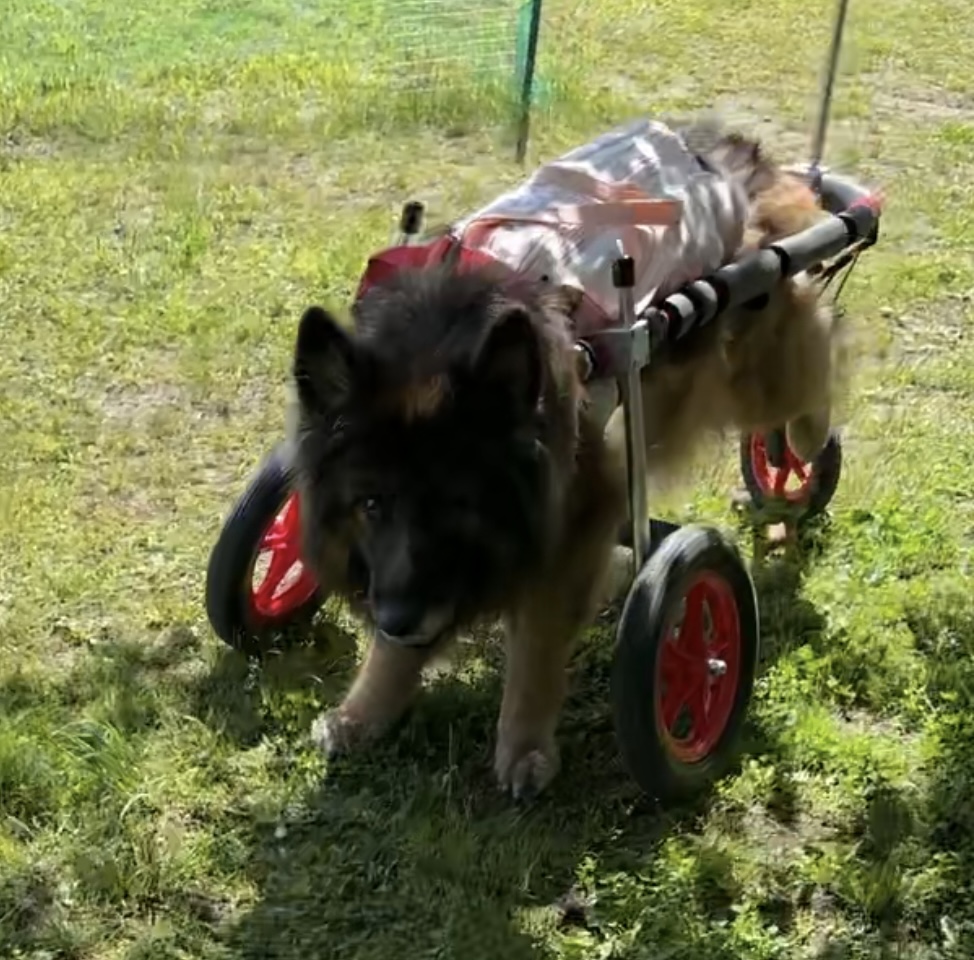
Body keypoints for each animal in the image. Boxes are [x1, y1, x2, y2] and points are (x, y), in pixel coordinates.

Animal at [292, 129, 848, 804]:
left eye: (455, 504)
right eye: (370, 504)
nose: (395, 618)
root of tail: (726, 149)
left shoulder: (572, 519)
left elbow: (535, 649)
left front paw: (524, 746)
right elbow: (394, 651)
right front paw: (365, 710)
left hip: (754, 348)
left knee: (811, 366)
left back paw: (800, 446)